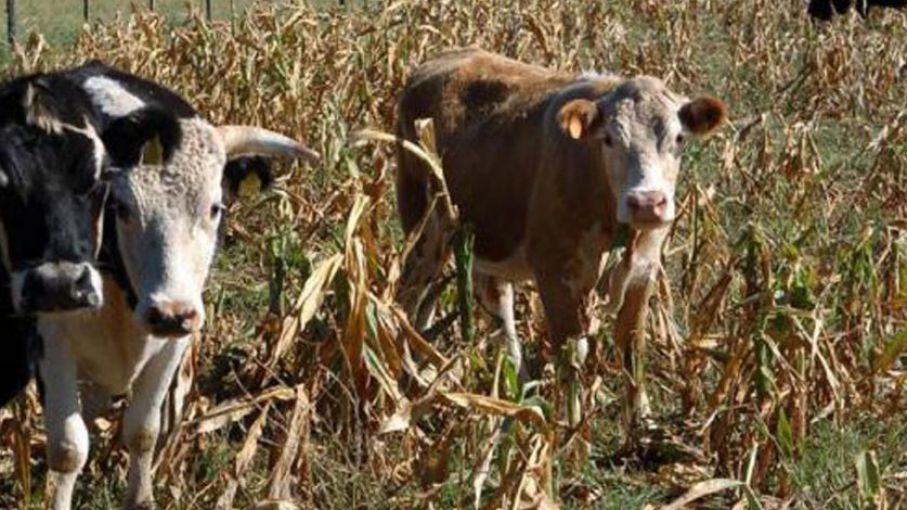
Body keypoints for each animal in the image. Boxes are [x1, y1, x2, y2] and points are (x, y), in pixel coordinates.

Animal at [28, 62, 320, 510]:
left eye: (215, 207)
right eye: (120, 207)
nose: (168, 313)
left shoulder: (175, 342)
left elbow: (143, 431)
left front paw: (140, 497)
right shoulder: (52, 340)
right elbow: (68, 448)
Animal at [394, 48, 728, 434]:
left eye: (678, 139)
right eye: (609, 139)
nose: (646, 202)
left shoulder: (644, 269)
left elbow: (632, 346)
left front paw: (643, 426)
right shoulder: (554, 270)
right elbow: (572, 353)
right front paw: (571, 429)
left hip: (478, 241)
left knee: (495, 309)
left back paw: (507, 398)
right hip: (423, 228)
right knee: (408, 298)